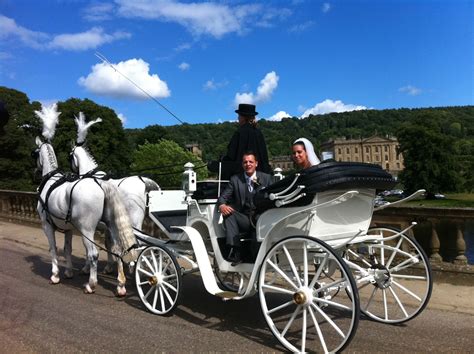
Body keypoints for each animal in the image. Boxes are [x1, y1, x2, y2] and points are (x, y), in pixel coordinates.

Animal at [69, 112, 160, 272]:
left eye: (70, 156)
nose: (72, 172)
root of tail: (144, 182)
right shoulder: (107, 226)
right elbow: (110, 243)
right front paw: (112, 265)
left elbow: (97, 245)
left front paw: (90, 267)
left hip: (135, 221)